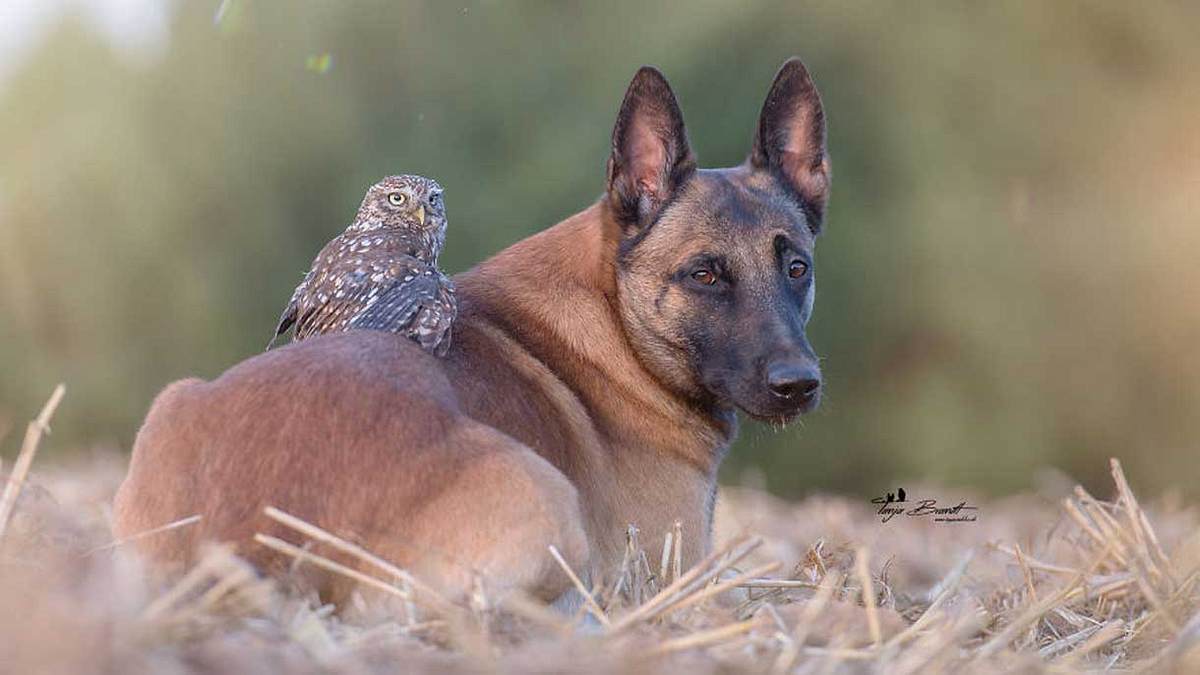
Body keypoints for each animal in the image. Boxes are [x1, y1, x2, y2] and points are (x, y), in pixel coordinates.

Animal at [112, 57, 830, 600]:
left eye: (796, 267)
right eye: (704, 275)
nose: (799, 385)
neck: (613, 314)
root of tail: (248, 537)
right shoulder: (677, 571)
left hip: (173, 399)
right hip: (544, 496)